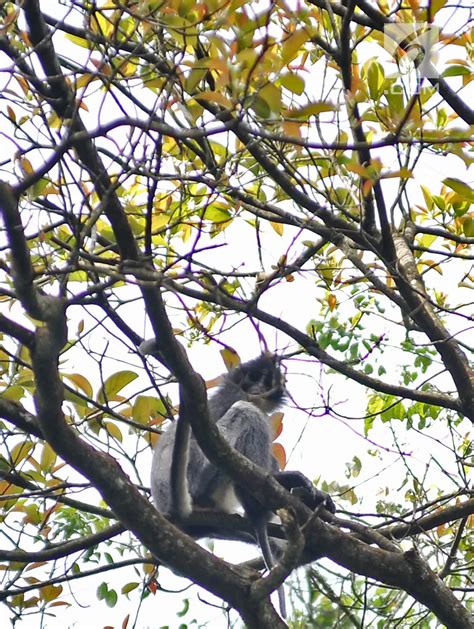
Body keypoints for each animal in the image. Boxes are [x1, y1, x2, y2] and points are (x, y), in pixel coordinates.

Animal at [146, 350, 336, 616]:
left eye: (265, 379)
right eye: (253, 376)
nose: (257, 387)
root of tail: (167, 505)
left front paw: (313, 496)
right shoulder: (232, 395)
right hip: (199, 475)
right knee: (246, 413)